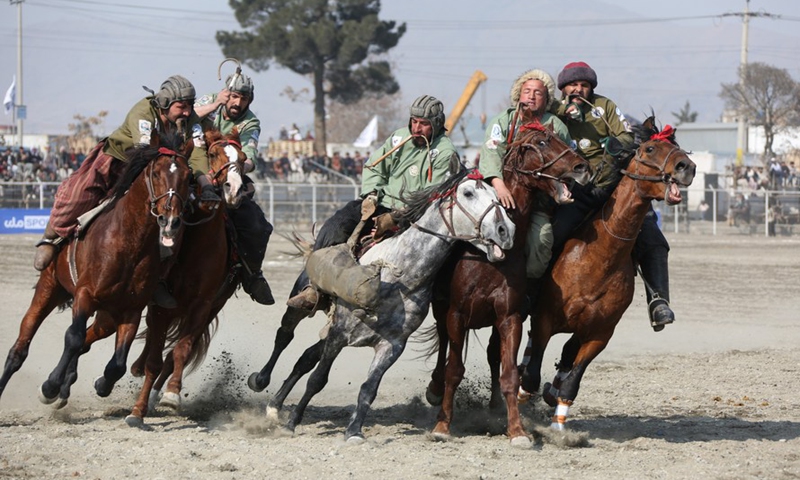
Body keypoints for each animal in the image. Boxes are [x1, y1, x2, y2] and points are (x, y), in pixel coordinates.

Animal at [0, 130, 193, 404]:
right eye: (156, 173)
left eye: (188, 176)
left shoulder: (131, 310)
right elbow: (73, 337)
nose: (171, 220)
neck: (128, 244)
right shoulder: (85, 294)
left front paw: (101, 383)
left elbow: (117, 364)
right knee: (21, 346)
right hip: (49, 288)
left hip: (106, 315)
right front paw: (49, 386)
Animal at [424, 124, 588, 446]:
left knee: (491, 355)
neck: (492, 254)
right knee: (443, 346)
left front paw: (517, 430)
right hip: (441, 308)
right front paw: (442, 425)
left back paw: (494, 406)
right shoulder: (456, 313)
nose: (581, 167)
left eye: (562, 138)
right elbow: (453, 370)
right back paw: (435, 390)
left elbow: (509, 373)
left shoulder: (509, 316)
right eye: (542, 142)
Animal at [520, 117, 692, 432]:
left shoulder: (600, 334)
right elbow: (531, 374)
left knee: (566, 355)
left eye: (675, 146)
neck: (599, 259)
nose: (687, 167)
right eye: (650, 148)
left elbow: (572, 381)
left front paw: (560, 428)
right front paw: (522, 397)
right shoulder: (545, 318)